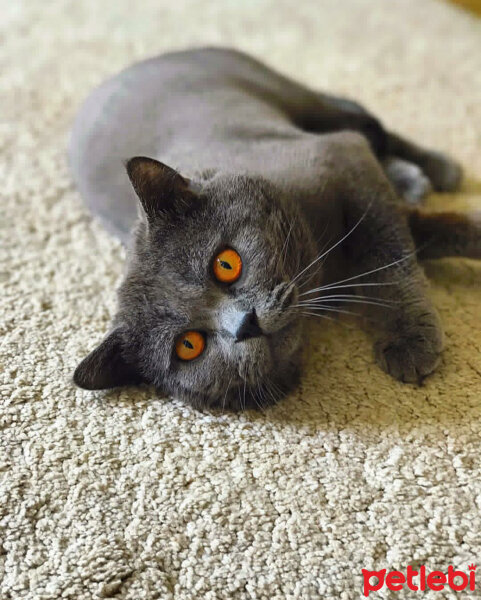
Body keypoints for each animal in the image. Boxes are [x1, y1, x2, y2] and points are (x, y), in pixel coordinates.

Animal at [71, 49, 480, 410]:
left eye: (225, 264)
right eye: (189, 346)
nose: (245, 325)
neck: (325, 267)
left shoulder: (343, 159)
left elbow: (387, 254)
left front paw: (409, 339)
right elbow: (422, 234)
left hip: (291, 95)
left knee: (363, 122)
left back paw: (436, 169)